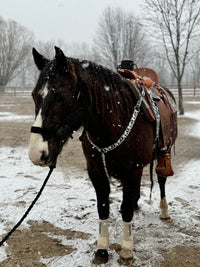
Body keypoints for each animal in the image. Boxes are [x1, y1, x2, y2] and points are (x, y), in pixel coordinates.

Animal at [28, 46, 177, 264]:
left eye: (61, 96)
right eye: (34, 96)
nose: (36, 153)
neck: (115, 120)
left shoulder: (133, 169)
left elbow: (125, 208)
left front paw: (126, 248)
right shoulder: (96, 171)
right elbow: (103, 206)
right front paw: (102, 249)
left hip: (163, 153)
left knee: (161, 179)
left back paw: (164, 211)